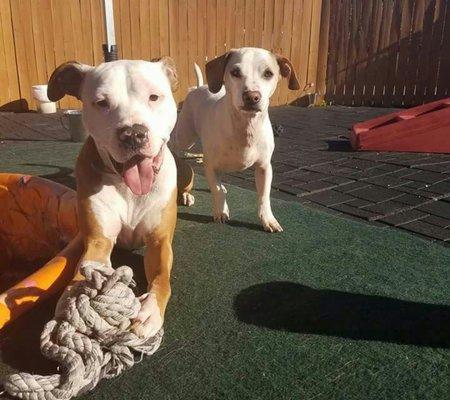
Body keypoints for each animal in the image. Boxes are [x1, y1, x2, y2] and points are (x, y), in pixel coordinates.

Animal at [46, 58, 185, 338]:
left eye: (154, 97)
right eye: (102, 103)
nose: (133, 133)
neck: (128, 188)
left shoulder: (160, 242)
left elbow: (161, 278)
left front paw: (150, 310)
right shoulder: (98, 241)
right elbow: (83, 272)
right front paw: (72, 304)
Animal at [174, 48, 300, 233]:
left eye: (268, 73)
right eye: (235, 72)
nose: (252, 96)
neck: (245, 128)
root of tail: (198, 87)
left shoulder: (264, 168)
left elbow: (264, 196)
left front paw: (268, 219)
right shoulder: (210, 165)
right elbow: (217, 189)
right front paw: (221, 211)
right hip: (185, 138)